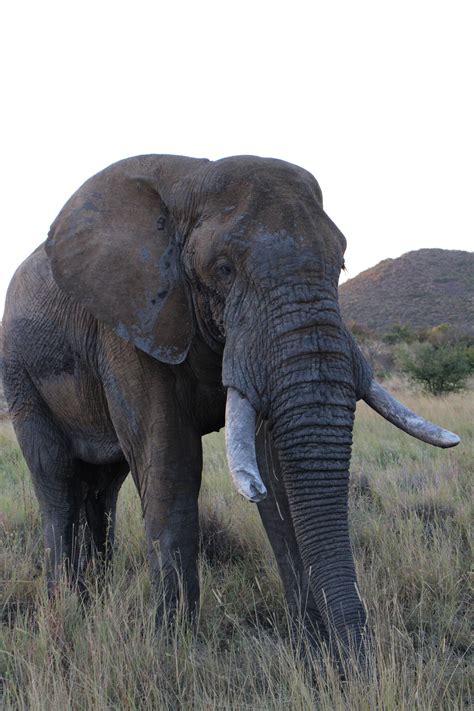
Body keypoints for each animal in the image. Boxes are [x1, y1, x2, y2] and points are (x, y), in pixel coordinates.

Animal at [0, 154, 460, 660]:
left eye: (340, 264)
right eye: (223, 269)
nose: (359, 664)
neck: (189, 182)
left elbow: (274, 472)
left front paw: (312, 652)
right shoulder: (129, 321)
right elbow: (171, 464)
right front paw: (173, 651)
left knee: (102, 486)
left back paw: (96, 597)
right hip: (19, 370)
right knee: (56, 478)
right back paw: (68, 608)